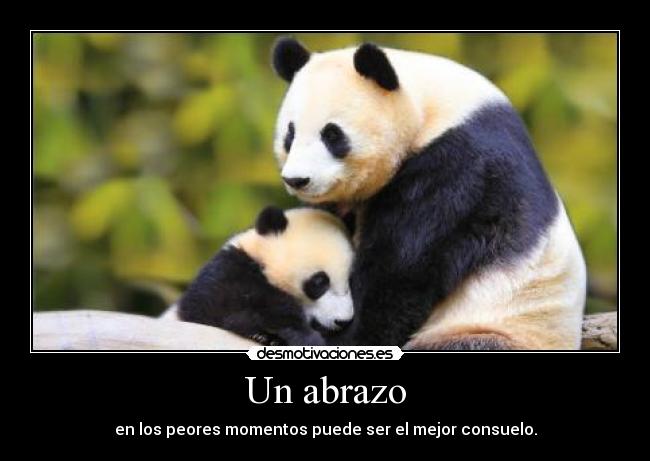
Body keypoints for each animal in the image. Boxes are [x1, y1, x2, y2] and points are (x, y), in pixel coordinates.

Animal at [165, 206, 355, 346]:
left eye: (349, 282)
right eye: (319, 282)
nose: (342, 321)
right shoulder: (227, 271)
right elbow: (216, 306)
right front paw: (302, 336)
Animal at [270, 38, 587, 350]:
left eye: (332, 135)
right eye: (290, 134)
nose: (297, 180)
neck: (432, 109)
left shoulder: (458, 169)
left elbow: (400, 270)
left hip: (497, 328)